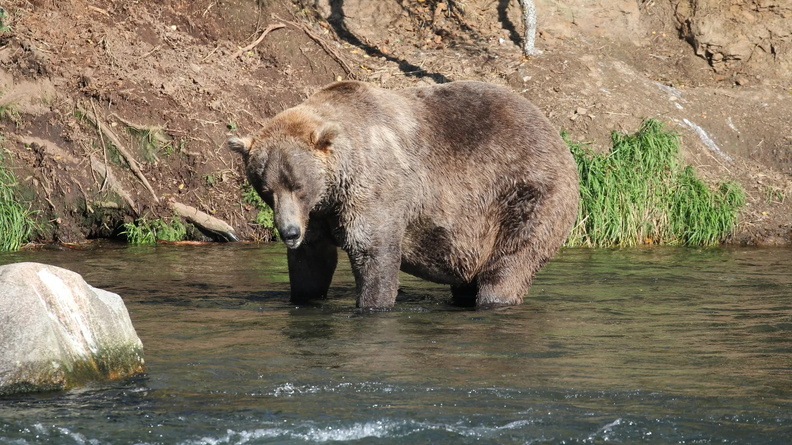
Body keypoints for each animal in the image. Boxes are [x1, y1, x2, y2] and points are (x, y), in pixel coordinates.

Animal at [229, 80, 579, 309]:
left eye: (298, 186)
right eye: (266, 189)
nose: (289, 232)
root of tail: (555, 132)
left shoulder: (374, 190)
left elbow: (374, 252)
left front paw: (372, 303)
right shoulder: (319, 214)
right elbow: (312, 262)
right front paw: (304, 296)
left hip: (525, 193)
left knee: (510, 262)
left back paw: (495, 298)